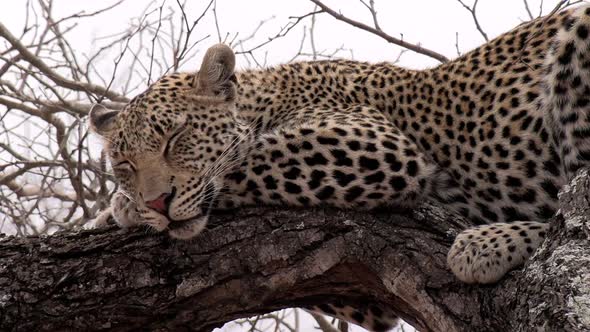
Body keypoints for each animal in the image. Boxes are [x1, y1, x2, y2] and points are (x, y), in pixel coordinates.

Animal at [89, 4, 590, 332]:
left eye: (176, 137)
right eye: (125, 163)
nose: (158, 202)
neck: (266, 97)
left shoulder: (376, 144)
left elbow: (246, 160)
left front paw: (121, 209)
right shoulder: (368, 298)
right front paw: (124, 206)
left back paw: (487, 242)